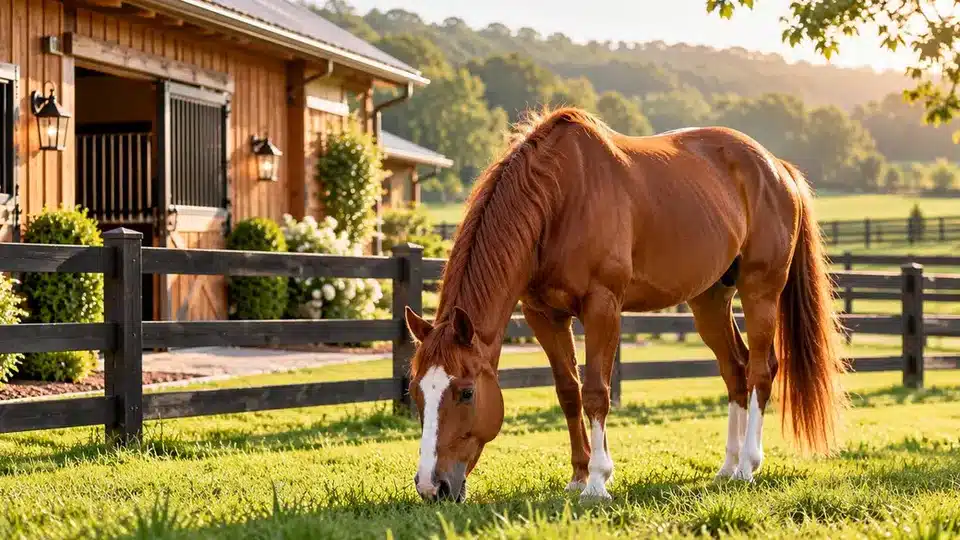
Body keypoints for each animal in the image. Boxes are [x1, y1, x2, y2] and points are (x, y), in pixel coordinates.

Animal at [403, 107, 848, 503]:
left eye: (465, 393)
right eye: (416, 392)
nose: (432, 486)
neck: (561, 197)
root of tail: (777, 168)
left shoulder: (602, 307)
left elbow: (597, 392)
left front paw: (598, 482)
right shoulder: (544, 315)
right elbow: (569, 392)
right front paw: (578, 477)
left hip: (760, 292)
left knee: (760, 370)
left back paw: (748, 466)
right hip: (709, 301)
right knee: (735, 371)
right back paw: (727, 466)